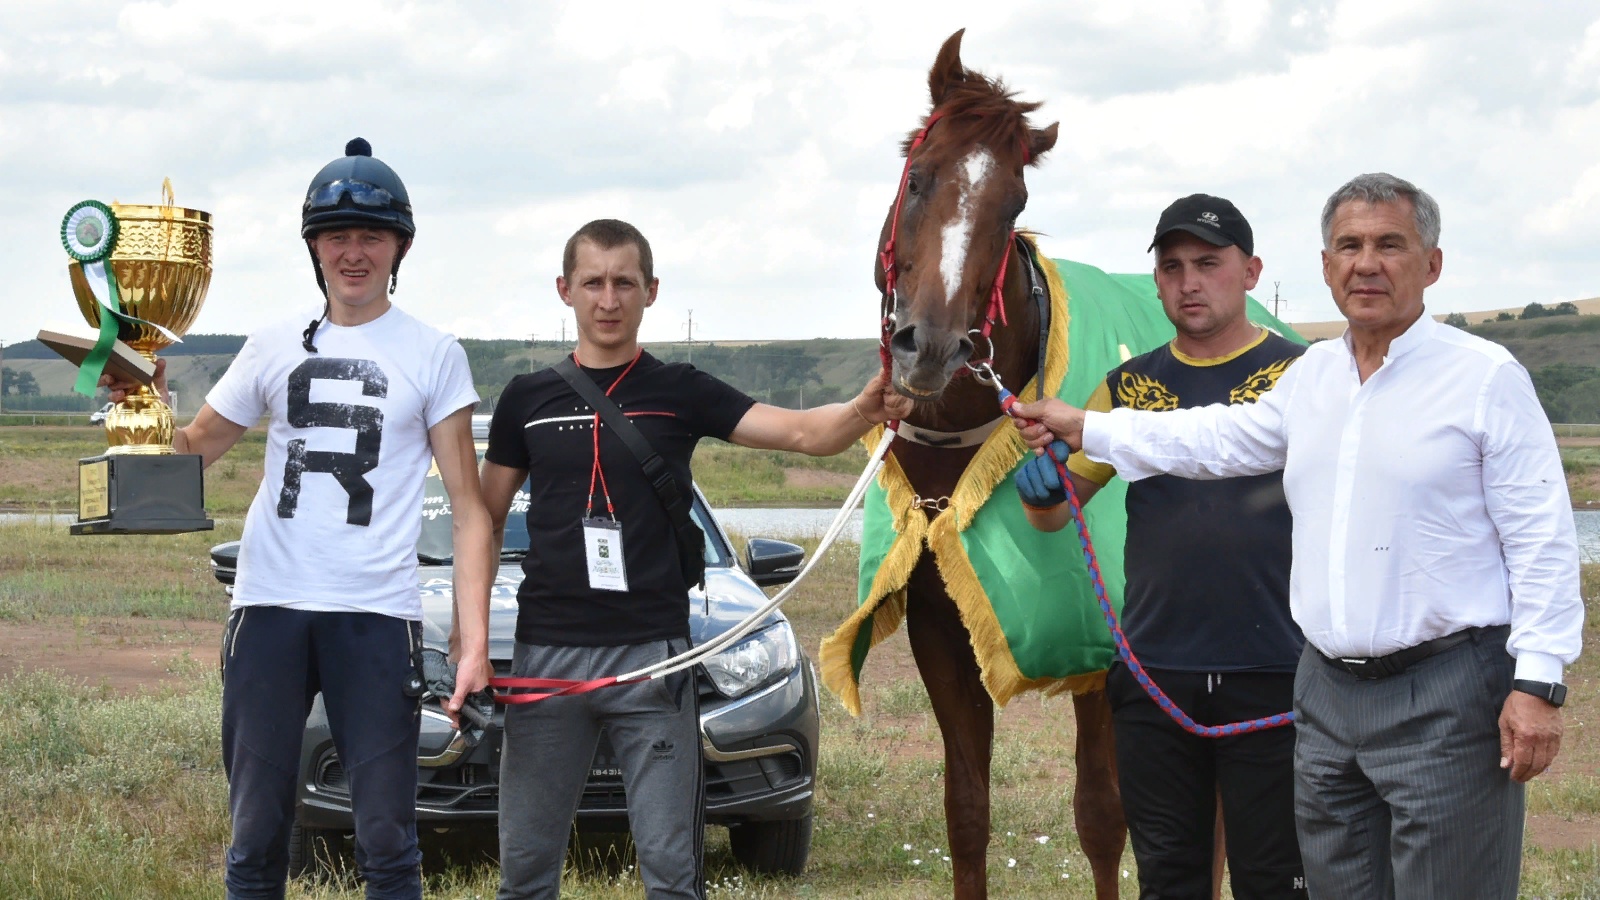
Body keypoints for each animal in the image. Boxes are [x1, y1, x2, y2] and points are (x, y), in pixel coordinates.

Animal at [870, 29, 1132, 896]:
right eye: (920, 176)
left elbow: (1103, 815)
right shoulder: (944, 636)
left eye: (1013, 204)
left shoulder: (1103, 651)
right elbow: (967, 811)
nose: (931, 347)